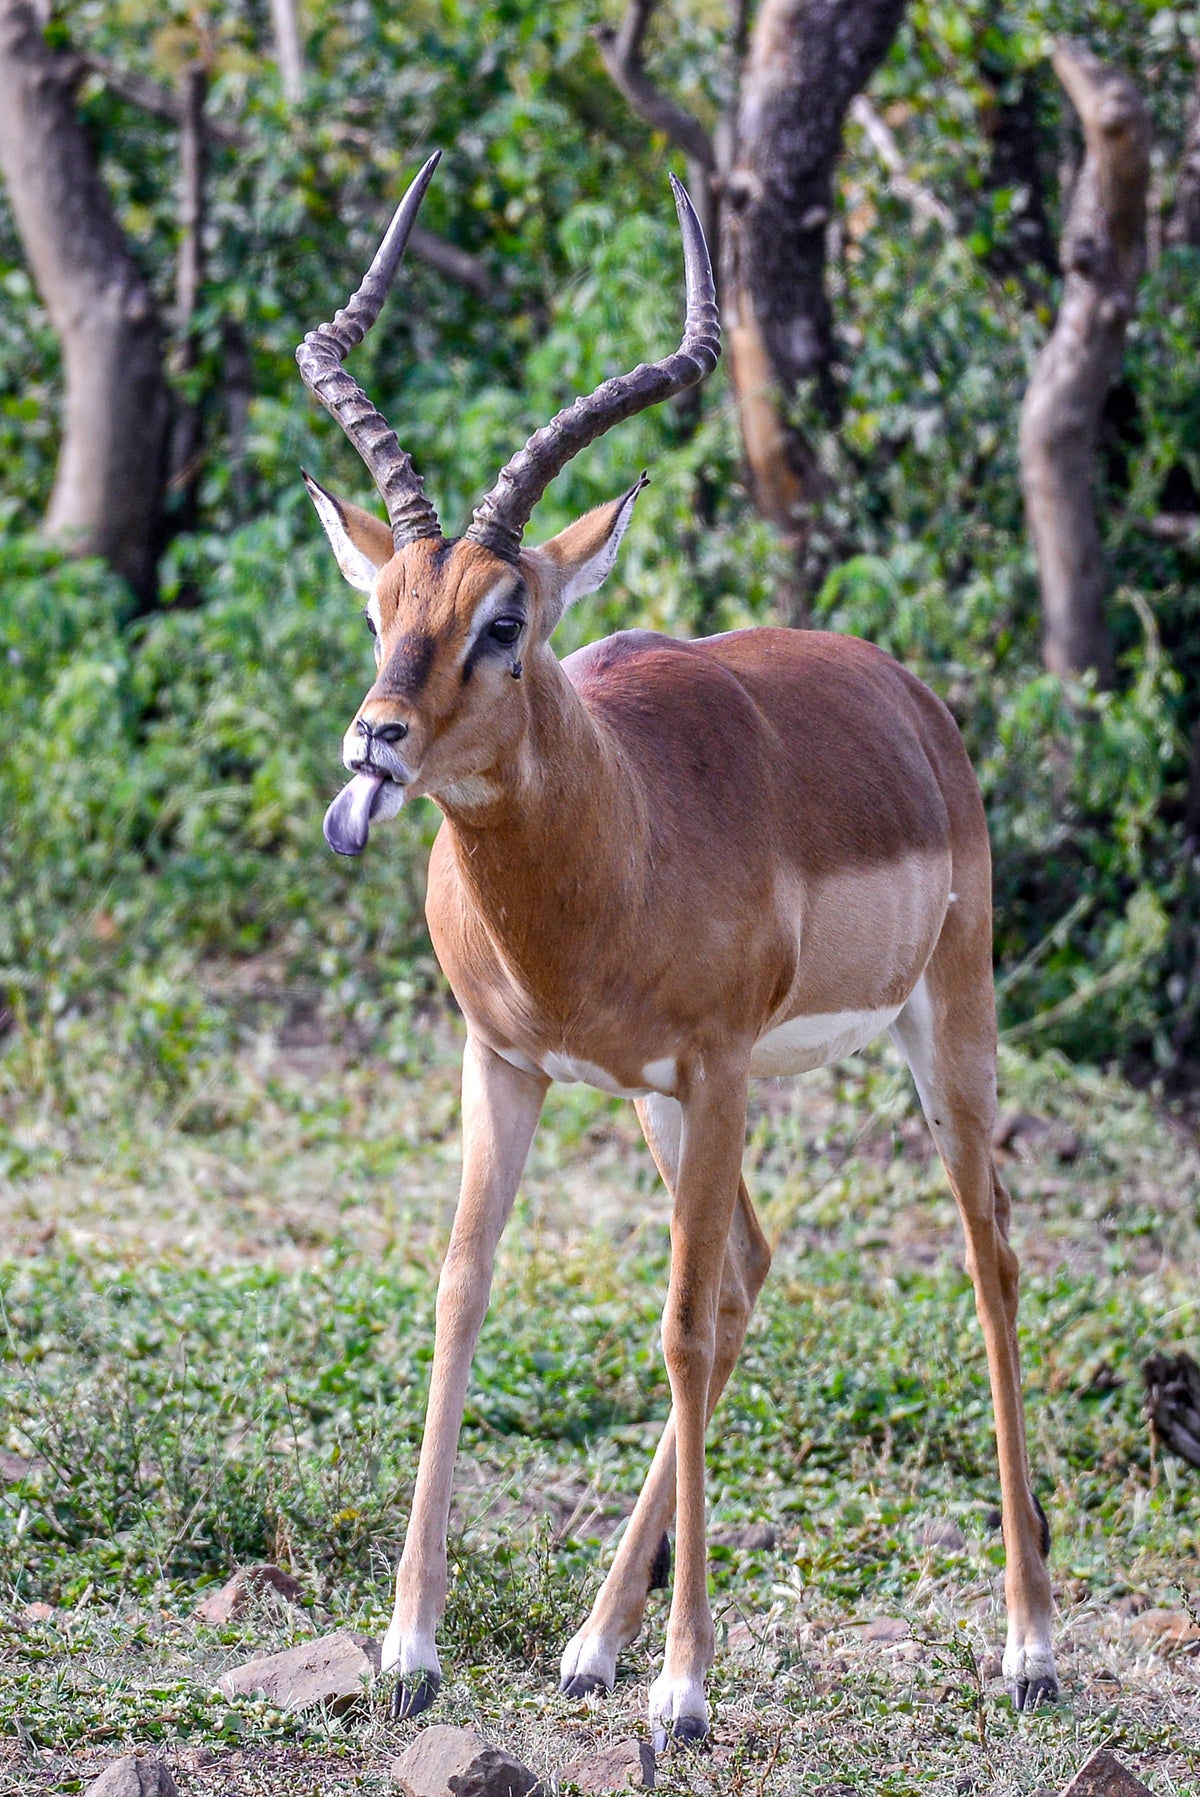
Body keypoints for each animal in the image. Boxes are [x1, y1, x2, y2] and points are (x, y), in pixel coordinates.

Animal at [297, 152, 1058, 1745]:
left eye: (506, 619)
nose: (374, 742)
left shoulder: (715, 1068)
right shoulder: (508, 1061)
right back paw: (592, 1641)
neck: (612, 852)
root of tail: (903, 691)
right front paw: (409, 1649)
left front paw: (689, 1687)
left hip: (935, 1031)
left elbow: (681, 1334)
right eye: (387, 605)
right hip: (665, 1107)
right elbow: (462, 1292)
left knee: (987, 1262)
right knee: (752, 1267)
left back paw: (1029, 1647)